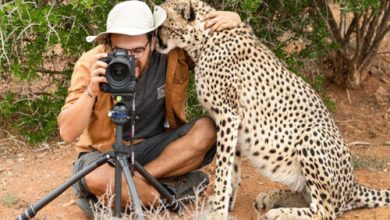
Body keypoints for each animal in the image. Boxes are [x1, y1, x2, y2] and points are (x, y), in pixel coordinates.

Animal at [156, 0, 390, 218]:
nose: (156, 41)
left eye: (163, 25)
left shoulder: (228, 115)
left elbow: (223, 169)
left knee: (325, 210)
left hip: (311, 135)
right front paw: (226, 204)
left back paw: (281, 212)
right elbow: (233, 168)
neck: (204, 39)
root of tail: (353, 184)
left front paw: (218, 210)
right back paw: (270, 198)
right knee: (310, 198)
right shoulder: (234, 121)